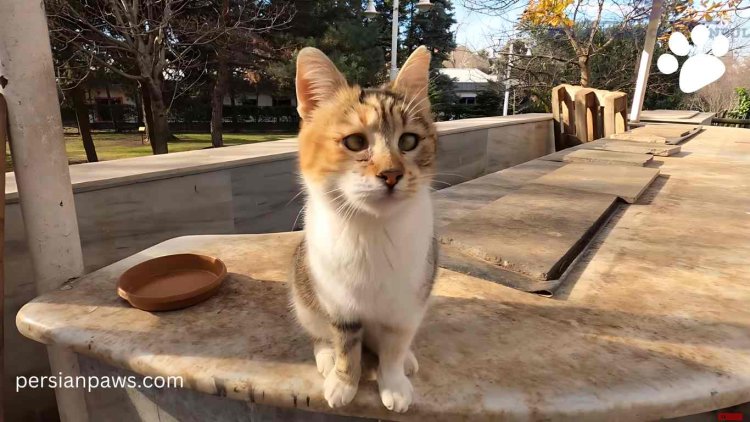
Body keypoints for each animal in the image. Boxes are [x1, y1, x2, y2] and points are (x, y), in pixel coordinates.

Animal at [290, 45, 440, 412]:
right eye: (355, 142)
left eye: (409, 140)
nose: (391, 174)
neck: (373, 230)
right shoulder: (338, 302)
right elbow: (346, 344)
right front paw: (345, 382)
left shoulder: (409, 301)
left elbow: (395, 345)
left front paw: (394, 381)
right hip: (303, 293)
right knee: (318, 332)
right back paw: (326, 356)